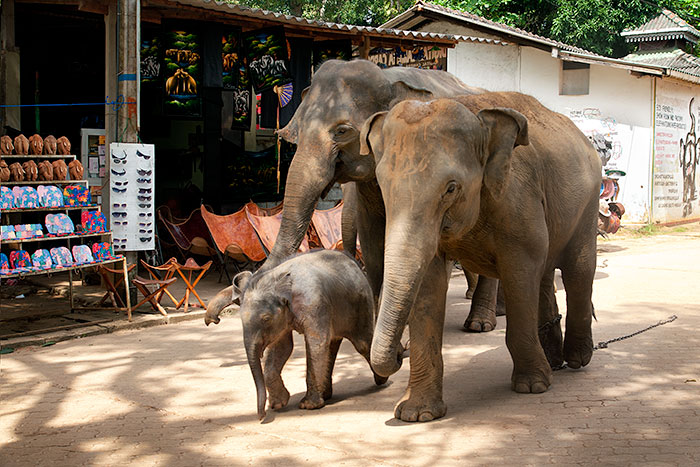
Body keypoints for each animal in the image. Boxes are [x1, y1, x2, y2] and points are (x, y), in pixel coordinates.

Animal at [205, 59, 500, 332]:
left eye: (342, 131)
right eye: (297, 130)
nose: (212, 319)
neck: (387, 77)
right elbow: (372, 240)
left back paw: (480, 324)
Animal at [205, 250, 386, 422]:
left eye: (266, 319)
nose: (261, 417)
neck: (276, 281)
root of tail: (353, 261)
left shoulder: (314, 304)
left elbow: (316, 342)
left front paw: (308, 406)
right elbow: (283, 347)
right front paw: (278, 403)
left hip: (361, 303)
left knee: (362, 344)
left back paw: (381, 379)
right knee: (333, 343)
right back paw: (326, 395)